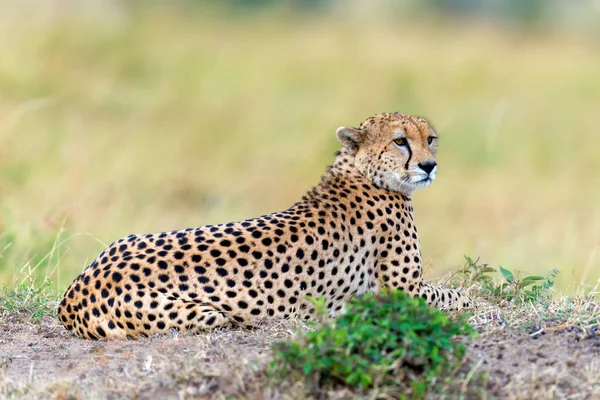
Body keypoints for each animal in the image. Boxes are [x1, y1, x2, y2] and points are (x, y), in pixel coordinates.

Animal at [59, 112, 474, 340]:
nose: (429, 165)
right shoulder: (403, 293)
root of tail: (73, 294)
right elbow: (455, 295)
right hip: (208, 313)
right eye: (400, 141)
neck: (362, 172)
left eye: (430, 139)